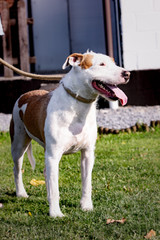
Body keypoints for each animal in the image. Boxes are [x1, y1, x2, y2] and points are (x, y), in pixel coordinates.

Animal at [9, 50, 130, 218]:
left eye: (114, 63)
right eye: (101, 64)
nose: (127, 73)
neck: (78, 105)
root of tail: (26, 95)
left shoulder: (87, 154)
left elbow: (86, 183)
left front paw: (86, 206)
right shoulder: (53, 156)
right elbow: (55, 188)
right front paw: (55, 213)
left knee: (46, 172)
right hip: (18, 143)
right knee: (17, 168)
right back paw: (21, 193)